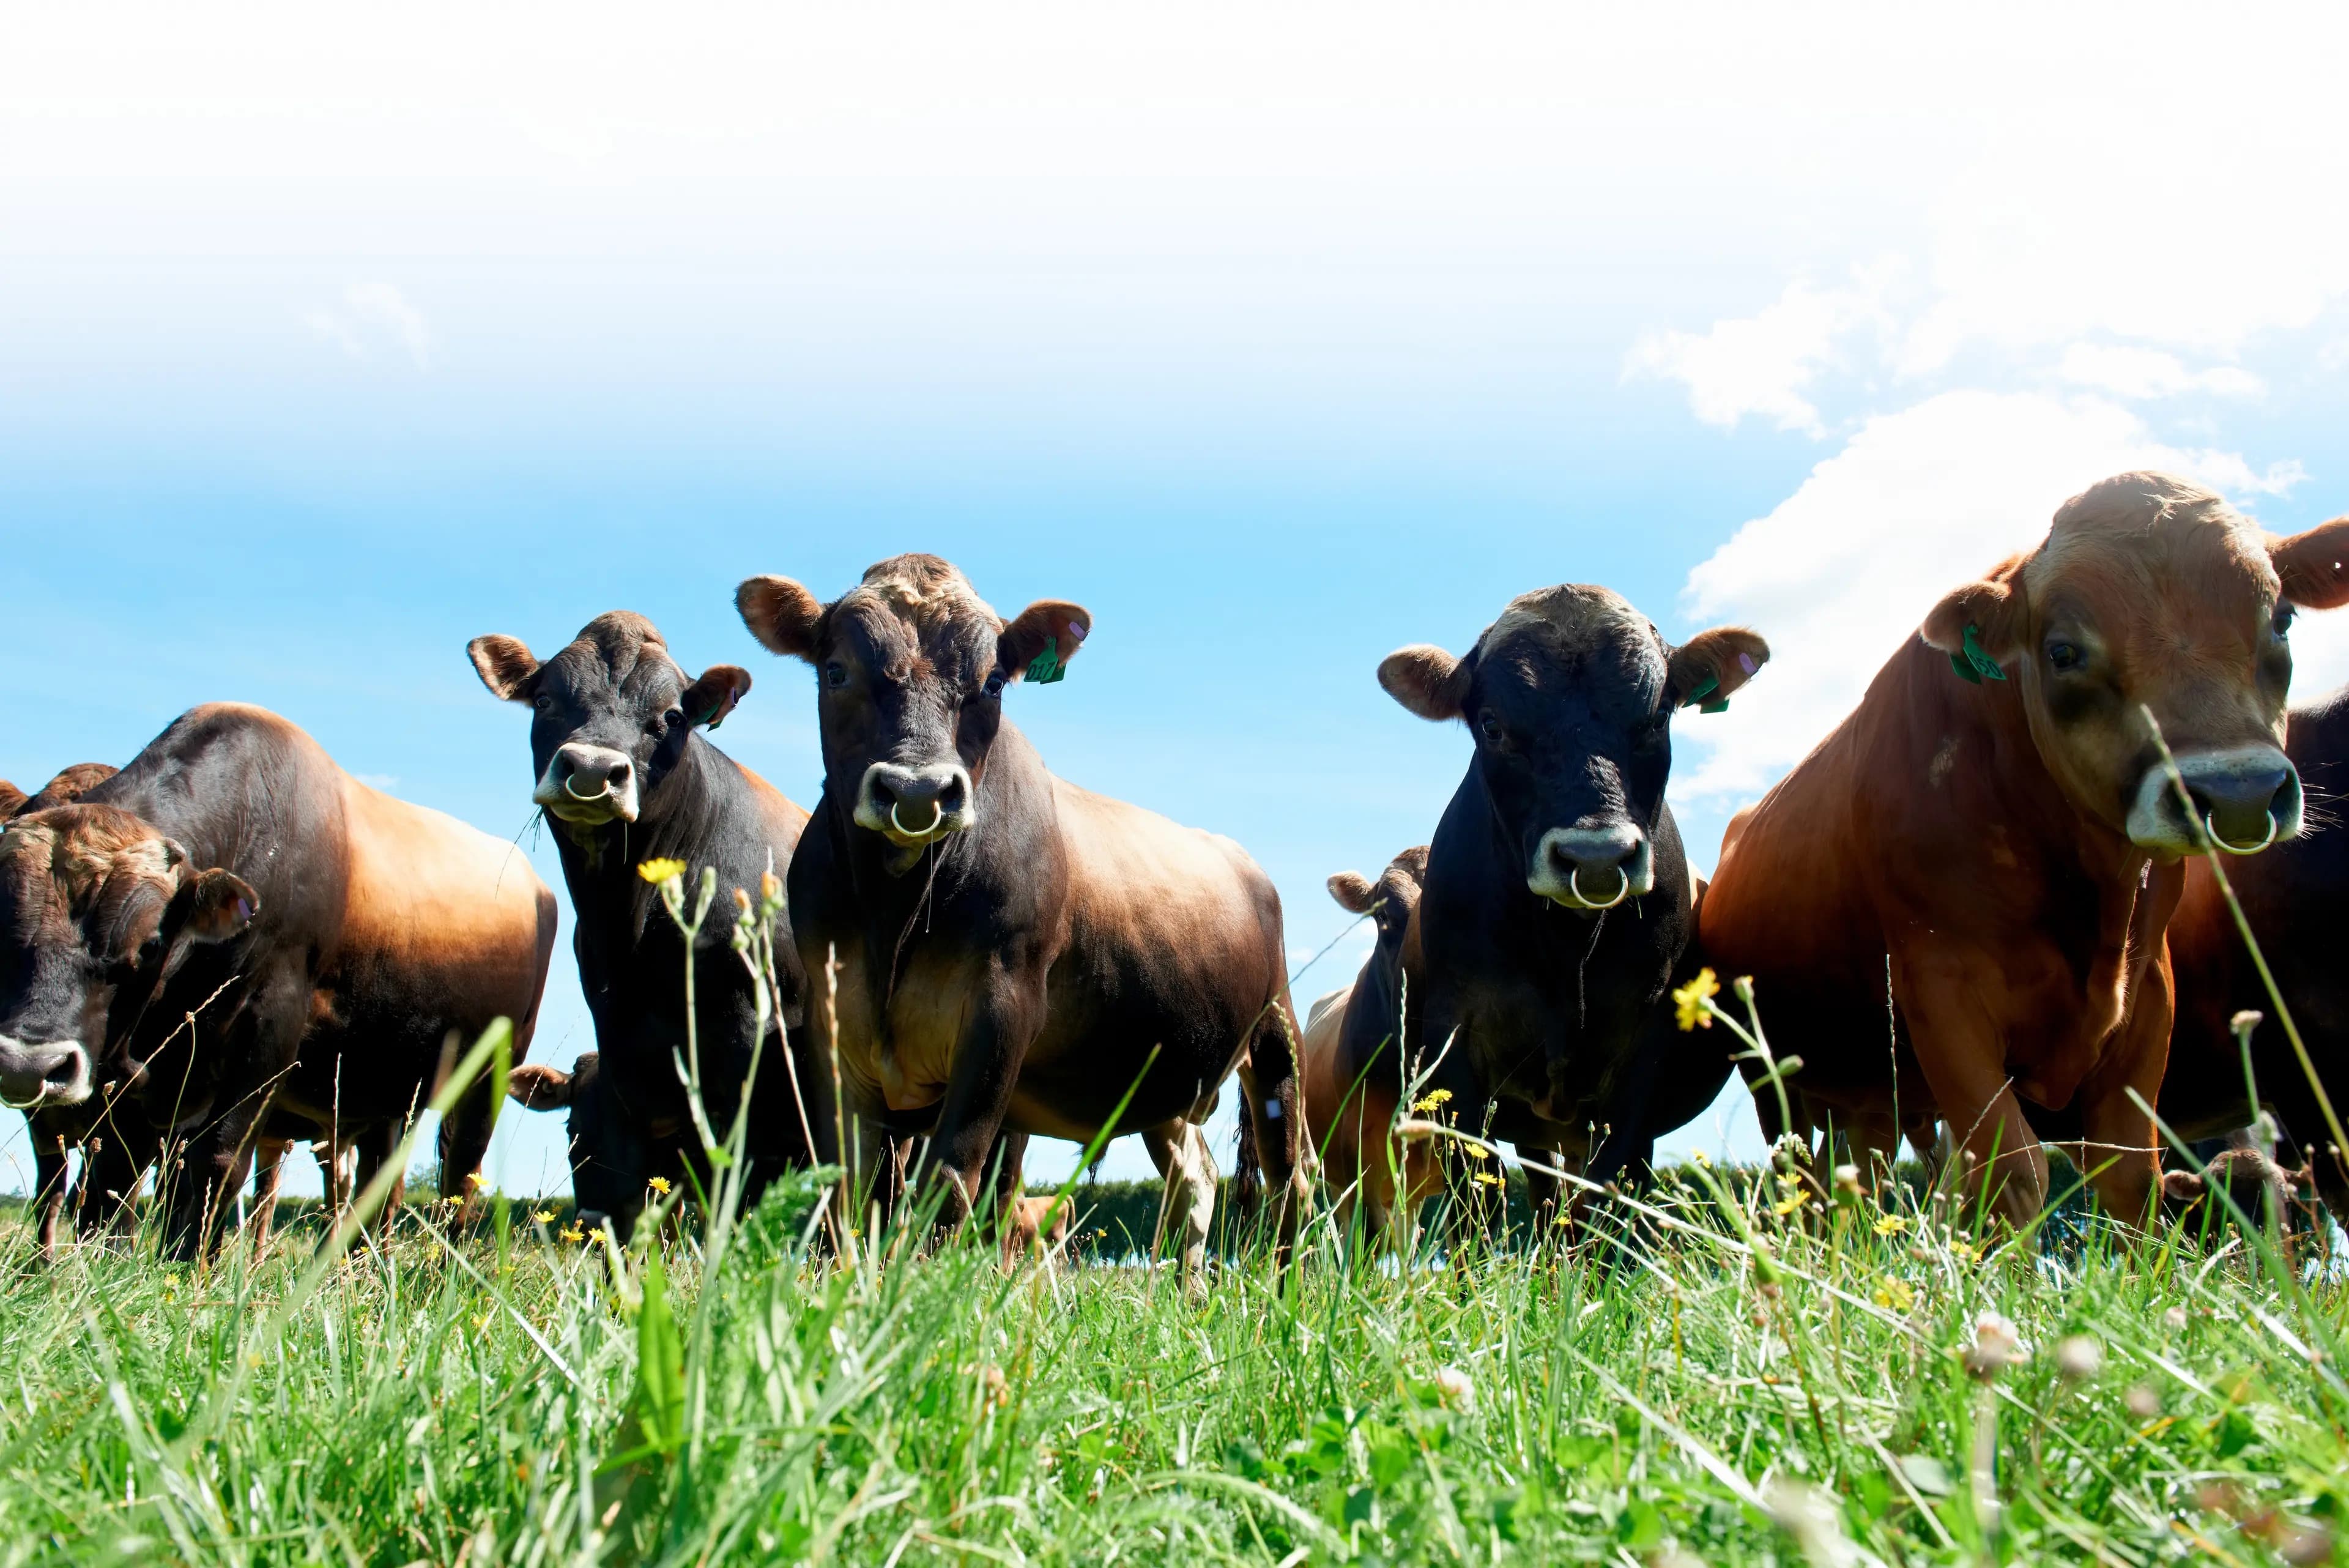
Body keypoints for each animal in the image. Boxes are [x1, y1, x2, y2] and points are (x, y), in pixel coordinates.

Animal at [0, 705, 558, 1256]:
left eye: (150, 943)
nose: (29, 1065)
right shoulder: (135, 1073)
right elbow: (113, 1181)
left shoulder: (265, 1030)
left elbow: (216, 1165)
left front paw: (192, 1269)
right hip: (382, 1089)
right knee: (376, 1184)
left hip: (487, 1076)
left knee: (460, 1178)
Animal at [733, 554, 1306, 1269]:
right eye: (836, 670)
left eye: (992, 681)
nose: (919, 790)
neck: (896, 914)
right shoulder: (834, 1021)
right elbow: (852, 1189)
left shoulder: (1002, 1012)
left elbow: (952, 1180)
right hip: (1164, 1081)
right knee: (1194, 1180)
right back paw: (1190, 1288)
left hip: (1276, 1033)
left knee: (1291, 1177)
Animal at [1368, 585, 1769, 1245]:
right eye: (1493, 725)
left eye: (1658, 718)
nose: (1597, 856)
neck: (1566, 947)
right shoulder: (1459, 1036)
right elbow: (1473, 1190)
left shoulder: (1646, 1043)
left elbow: (1615, 1183)